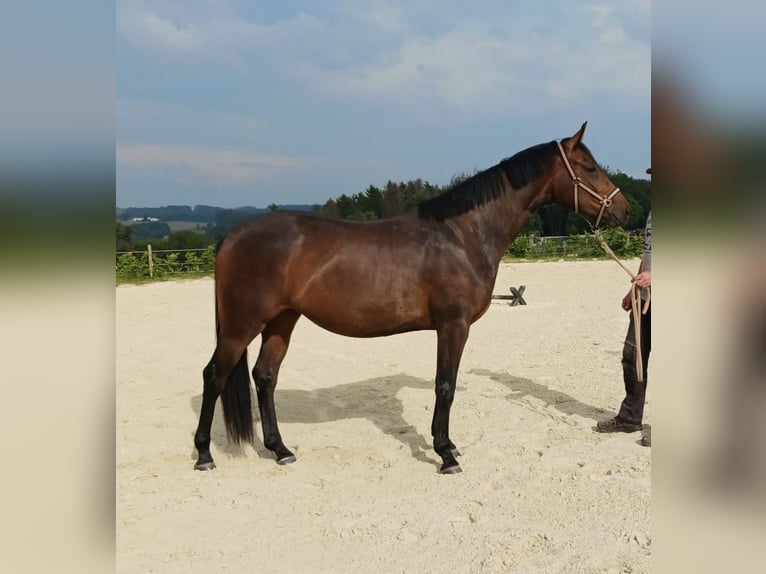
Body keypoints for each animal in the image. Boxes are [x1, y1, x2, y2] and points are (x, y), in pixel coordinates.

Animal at [193, 122, 630, 474]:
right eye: (589, 168)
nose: (624, 211)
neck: (462, 234)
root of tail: (234, 234)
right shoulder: (453, 326)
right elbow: (445, 385)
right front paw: (446, 454)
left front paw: (449, 446)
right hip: (241, 325)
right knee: (214, 376)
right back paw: (204, 455)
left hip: (282, 321)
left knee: (265, 377)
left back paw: (281, 450)